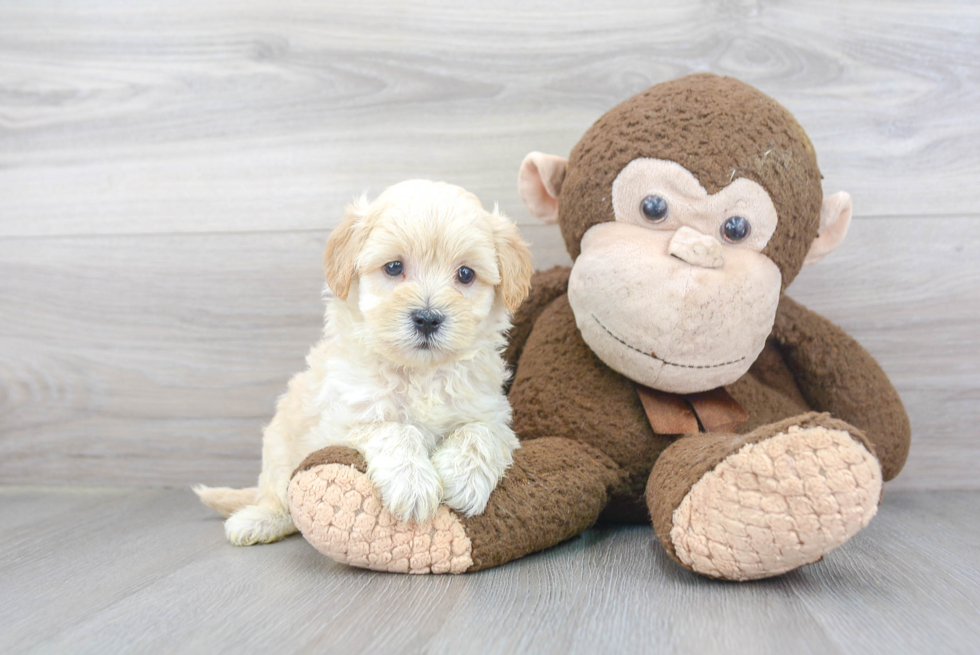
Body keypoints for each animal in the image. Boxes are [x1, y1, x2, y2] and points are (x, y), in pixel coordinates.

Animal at [194, 179, 532, 548]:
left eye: (466, 274)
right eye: (394, 267)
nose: (428, 319)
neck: (420, 373)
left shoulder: (491, 412)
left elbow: (480, 432)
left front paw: (464, 479)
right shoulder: (342, 420)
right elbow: (392, 429)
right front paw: (412, 484)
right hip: (279, 446)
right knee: (278, 497)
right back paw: (258, 521)